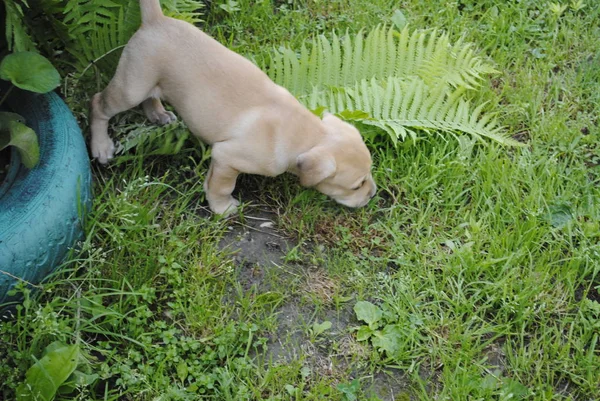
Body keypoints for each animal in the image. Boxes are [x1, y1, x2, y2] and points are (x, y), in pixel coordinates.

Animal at [90, 0, 376, 216]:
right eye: (355, 186)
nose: (373, 194)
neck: (304, 130)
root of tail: (155, 20)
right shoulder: (227, 157)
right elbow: (223, 186)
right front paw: (222, 208)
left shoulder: (220, 158)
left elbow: (212, 180)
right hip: (131, 86)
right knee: (99, 104)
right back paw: (101, 146)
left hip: (151, 81)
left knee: (150, 96)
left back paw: (158, 114)